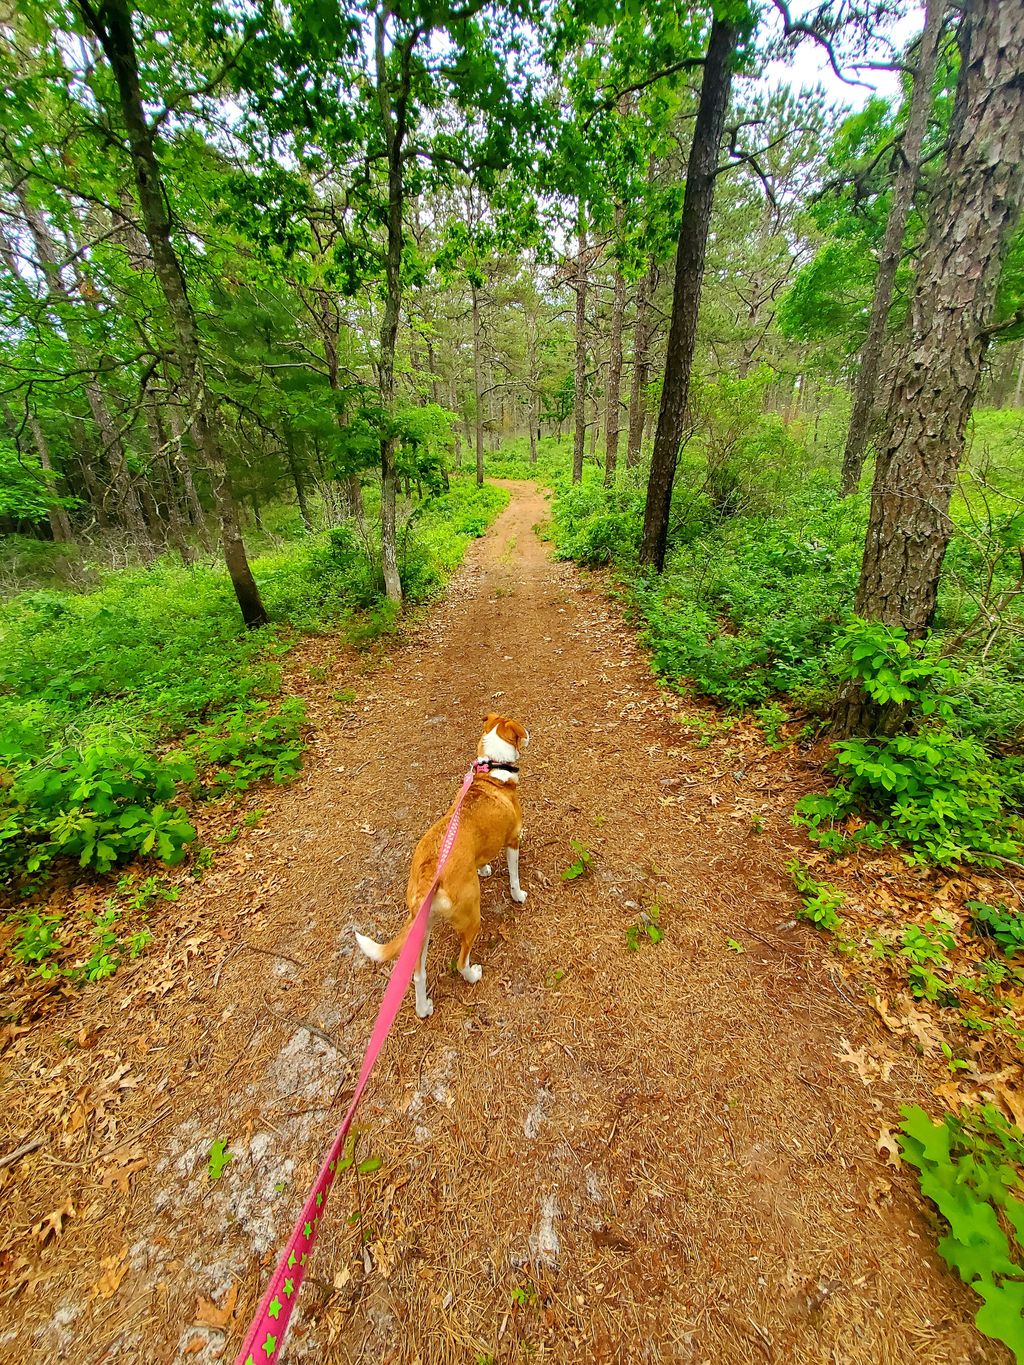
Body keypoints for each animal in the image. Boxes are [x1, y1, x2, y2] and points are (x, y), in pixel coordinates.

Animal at [352, 720, 529, 1021]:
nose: (530, 736)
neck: (492, 771)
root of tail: (428, 878)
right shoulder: (513, 840)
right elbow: (514, 877)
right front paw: (518, 896)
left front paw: (484, 869)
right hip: (471, 918)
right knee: (460, 961)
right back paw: (472, 974)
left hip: (421, 932)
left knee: (418, 976)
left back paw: (423, 1009)